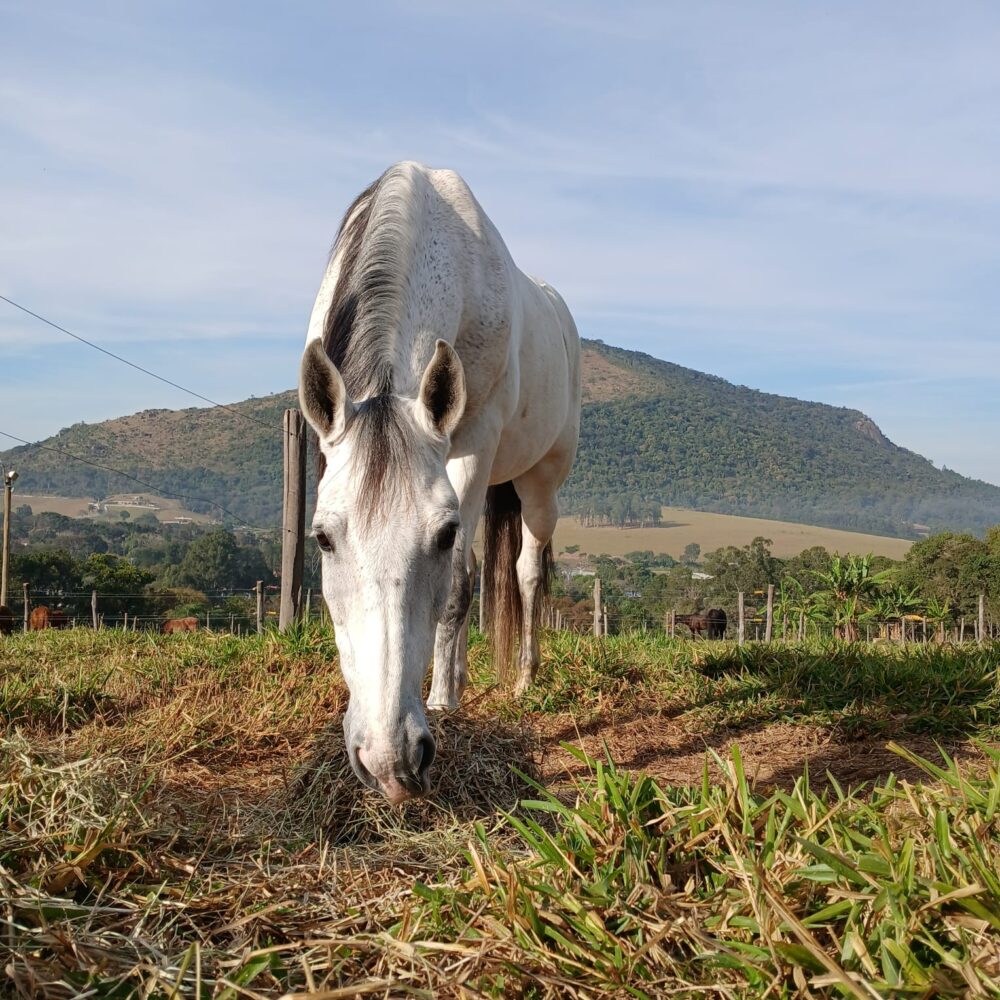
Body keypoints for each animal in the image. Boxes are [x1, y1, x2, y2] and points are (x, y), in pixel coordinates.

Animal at [298, 164, 580, 804]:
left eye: (444, 534)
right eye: (322, 538)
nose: (390, 762)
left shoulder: (473, 440)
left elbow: (457, 585)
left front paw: (445, 702)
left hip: (540, 483)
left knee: (527, 572)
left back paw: (522, 678)